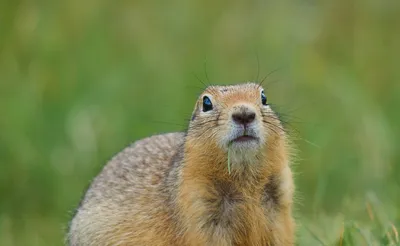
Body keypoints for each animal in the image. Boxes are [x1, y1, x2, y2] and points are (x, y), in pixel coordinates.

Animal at [68, 82, 294, 244]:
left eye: (264, 97)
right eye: (206, 103)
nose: (244, 114)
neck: (244, 179)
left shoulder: (278, 206)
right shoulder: (199, 206)